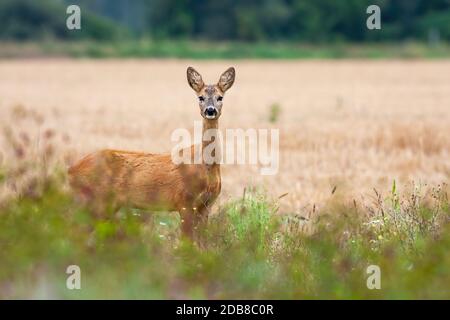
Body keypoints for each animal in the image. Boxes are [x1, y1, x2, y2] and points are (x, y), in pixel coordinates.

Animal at [67, 66, 236, 239]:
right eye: (200, 97)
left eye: (220, 97)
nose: (210, 110)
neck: (205, 168)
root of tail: (71, 170)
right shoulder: (184, 201)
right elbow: (186, 241)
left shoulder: (207, 205)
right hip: (94, 199)